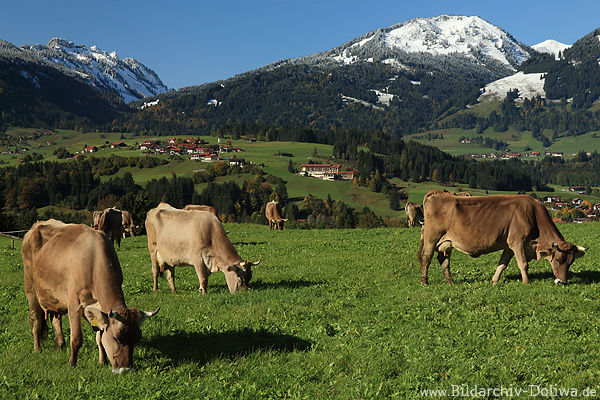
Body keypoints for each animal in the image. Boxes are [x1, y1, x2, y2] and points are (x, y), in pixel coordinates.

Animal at [22, 219, 158, 372]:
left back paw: (59, 345)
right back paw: (37, 349)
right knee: (36, 320)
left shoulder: (98, 308)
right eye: (116, 338)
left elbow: (100, 338)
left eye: (137, 338)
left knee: (56, 318)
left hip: (53, 296)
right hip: (30, 289)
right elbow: (76, 338)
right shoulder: (74, 303)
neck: (93, 260)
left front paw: (102, 361)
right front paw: (72, 363)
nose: (125, 369)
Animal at [418, 190, 584, 284]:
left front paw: (494, 280)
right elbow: (523, 263)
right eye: (558, 259)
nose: (562, 281)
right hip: (431, 238)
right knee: (426, 257)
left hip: (446, 243)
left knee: (444, 260)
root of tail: (438, 194)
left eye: (571, 262)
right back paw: (424, 282)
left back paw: (450, 282)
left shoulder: (509, 246)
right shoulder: (517, 242)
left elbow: (502, 264)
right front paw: (526, 282)